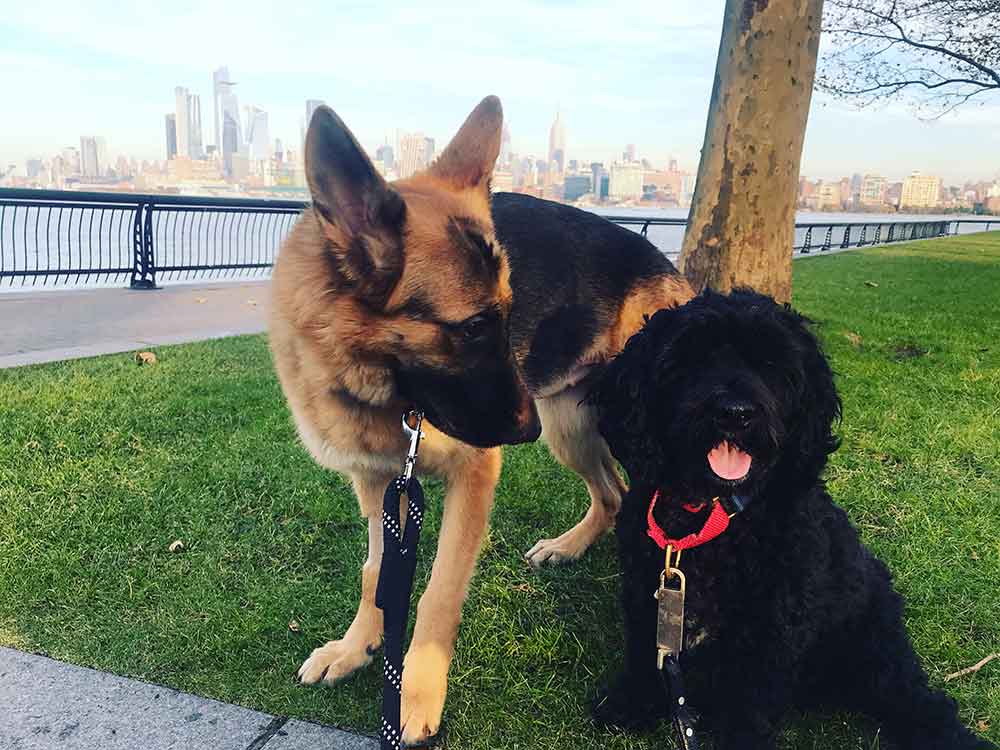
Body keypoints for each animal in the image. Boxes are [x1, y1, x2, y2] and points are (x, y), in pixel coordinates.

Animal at [270, 95, 692, 748]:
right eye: (471, 328)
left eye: (509, 316)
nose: (524, 432)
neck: (381, 384)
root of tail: (666, 269)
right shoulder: (378, 483)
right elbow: (375, 571)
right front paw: (356, 646)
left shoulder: (473, 476)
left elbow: (439, 590)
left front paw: (417, 693)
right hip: (569, 429)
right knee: (614, 494)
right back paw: (570, 547)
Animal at [588, 290, 988, 750]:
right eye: (691, 361)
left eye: (770, 365)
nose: (735, 413)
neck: (717, 519)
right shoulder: (648, 595)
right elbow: (644, 655)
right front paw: (631, 703)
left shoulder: (773, 627)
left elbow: (751, 702)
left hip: (875, 649)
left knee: (918, 700)